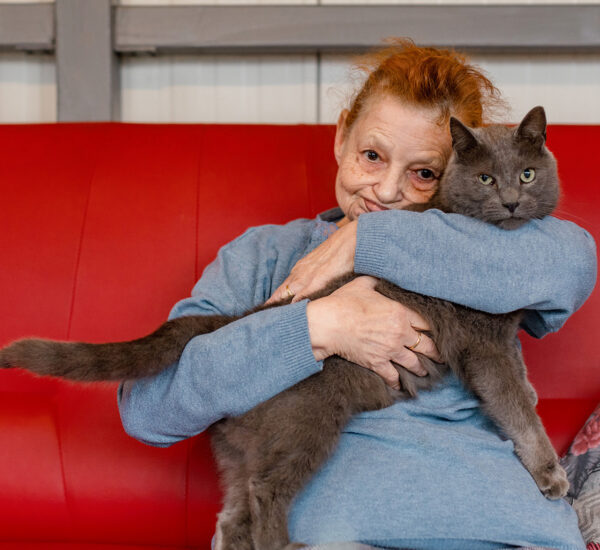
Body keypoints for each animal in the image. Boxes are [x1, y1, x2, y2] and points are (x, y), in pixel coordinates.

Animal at [0, 106, 568, 550]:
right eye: (487, 179)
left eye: (527, 174)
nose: (513, 200)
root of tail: (239, 321)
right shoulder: (483, 344)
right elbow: (513, 407)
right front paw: (550, 473)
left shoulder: (504, 338)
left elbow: (520, 383)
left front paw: (535, 397)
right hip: (309, 420)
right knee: (266, 491)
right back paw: (286, 544)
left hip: (238, 455)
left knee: (234, 514)